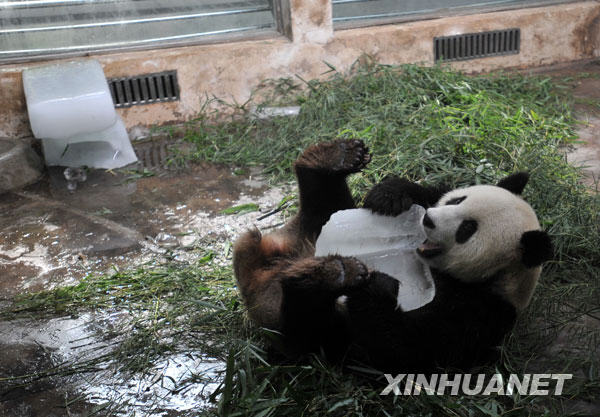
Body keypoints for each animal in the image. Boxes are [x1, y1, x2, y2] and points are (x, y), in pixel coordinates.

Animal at [232, 140, 552, 370]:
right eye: (457, 201)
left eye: (467, 229)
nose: (428, 221)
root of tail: (260, 270)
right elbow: (424, 189)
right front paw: (390, 195)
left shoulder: (482, 314)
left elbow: (404, 347)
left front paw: (378, 284)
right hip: (319, 225)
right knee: (325, 205)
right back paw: (333, 158)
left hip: (314, 338)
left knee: (305, 326)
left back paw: (330, 275)